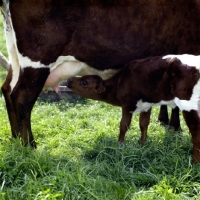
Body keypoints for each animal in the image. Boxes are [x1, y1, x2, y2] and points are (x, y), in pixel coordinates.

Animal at [0, 0, 200, 148]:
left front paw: (166, 122)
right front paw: (174, 125)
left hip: (16, 56)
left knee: (8, 89)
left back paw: (15, 138)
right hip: (39, 57)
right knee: (22, 98)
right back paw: (30, 145)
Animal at [66, 54, 200, 162]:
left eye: (84, 83)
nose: (69, 79)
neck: (120, 82)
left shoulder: (127, 105)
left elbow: (123, 125)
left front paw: (119, 145)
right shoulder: (146, 106)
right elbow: (144, 124)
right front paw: (142, 144)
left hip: (189, 103)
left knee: (195, 130)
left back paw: (195, 162)